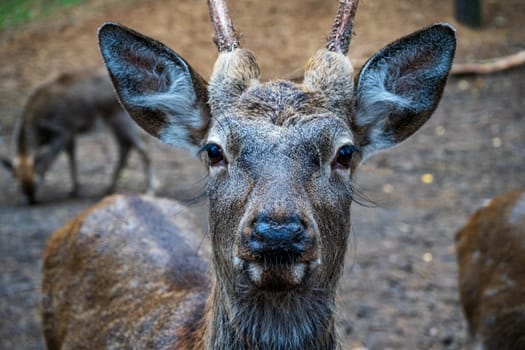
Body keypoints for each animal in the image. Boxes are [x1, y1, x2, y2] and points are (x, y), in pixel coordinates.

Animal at [0, 66, 155, 204]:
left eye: (33, 179)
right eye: (16, 179)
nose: (30, 198)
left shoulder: (63, 130)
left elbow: (52, 158)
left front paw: (73, 189)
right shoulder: (70, 132)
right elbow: (71, 155)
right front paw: (74, 189)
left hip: (119, 117)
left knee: (141, 148)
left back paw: (150, 189)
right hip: (114, 122)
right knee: (125, 146)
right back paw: (109, 188)